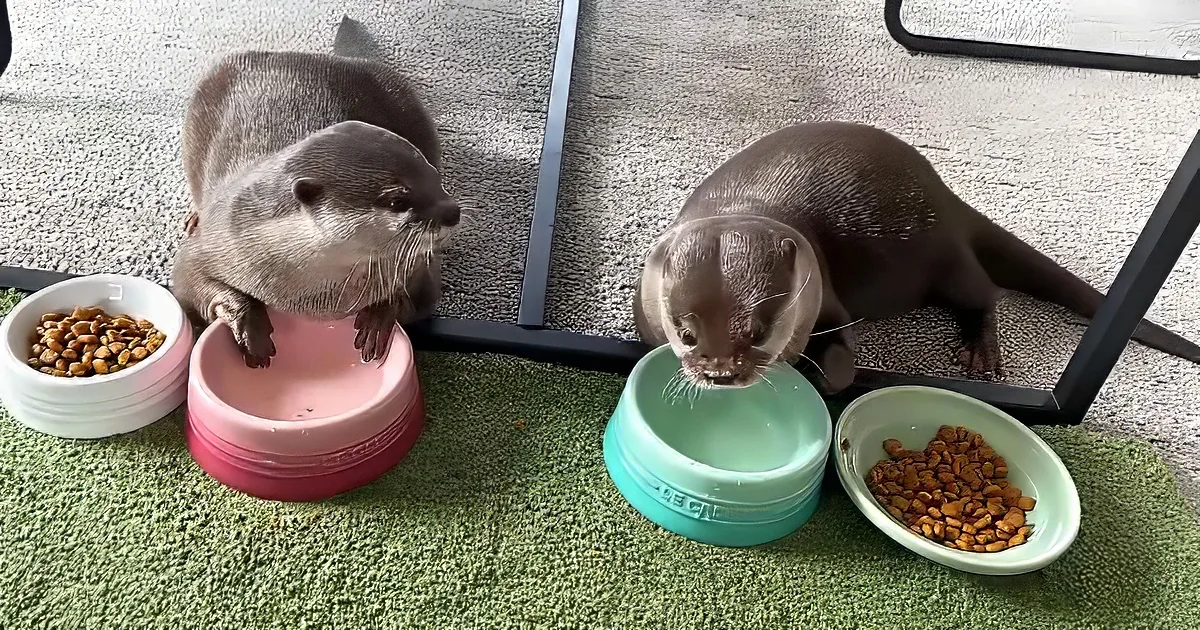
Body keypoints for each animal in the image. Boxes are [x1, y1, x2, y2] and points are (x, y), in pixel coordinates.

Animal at [171, 17, 459, 368]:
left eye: (434, 177)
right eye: (397, 200)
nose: (452, 211)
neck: (316, 298)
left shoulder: (420, 270)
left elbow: (419, 303)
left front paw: (380, 316)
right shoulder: (214, 240)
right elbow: (189, 283)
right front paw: (249, 328)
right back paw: (192, 216)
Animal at [634, 121, 1200, 394]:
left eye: (758, 330)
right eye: (686, 333)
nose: (721, 374)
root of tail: (947, 197)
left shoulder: (822, 292)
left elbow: (842, 352)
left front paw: (827, 373)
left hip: (944, 257)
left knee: (982, 292)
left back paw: (979, 352)